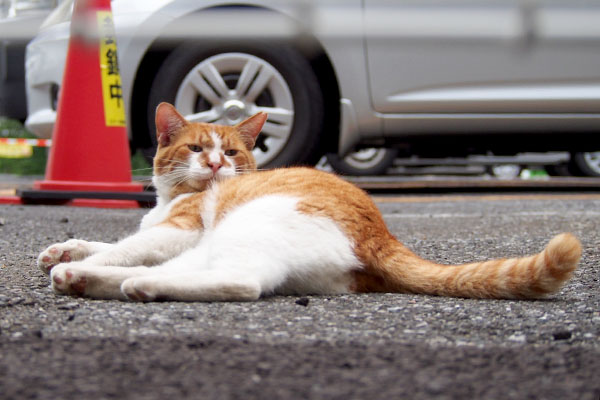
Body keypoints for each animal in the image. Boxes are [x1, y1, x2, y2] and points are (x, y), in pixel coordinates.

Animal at [37, 102, 580, 300]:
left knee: (241, 283)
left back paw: (113, 282)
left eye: (229, 152)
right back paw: (89, 277)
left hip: (240, 229)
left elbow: (122, 247)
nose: (214, 166)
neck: (176, 197)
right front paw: (64, 247)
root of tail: (381, 234)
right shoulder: (161, 232)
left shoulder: (179, 230)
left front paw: (77, 258)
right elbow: (110, 241)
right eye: (195, 149)